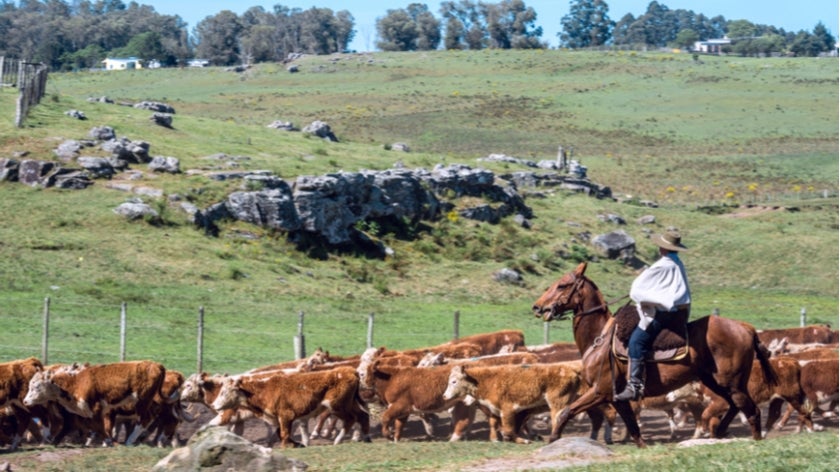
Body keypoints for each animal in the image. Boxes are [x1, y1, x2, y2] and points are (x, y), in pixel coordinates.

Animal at [23, 362, 164, 446]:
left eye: (36, 386)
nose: (25, 401)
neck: (75, 381)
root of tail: (156, 365)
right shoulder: (86, 412)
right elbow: (93, 427)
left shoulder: (96, 409)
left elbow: (99, 426)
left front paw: (107, 441)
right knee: (150, 418)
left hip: (142, 401)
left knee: (145, 419)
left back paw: (130, 441)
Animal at [210, 366, 368, 448]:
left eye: (224, 392)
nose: (214, 405)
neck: (264, 390)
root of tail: (349, 370)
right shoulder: (278, 418)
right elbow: (280, 433)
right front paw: (297, 443)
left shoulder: (286, 416)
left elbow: (284, 433)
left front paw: (287, 446)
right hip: (350, 404)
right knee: (362, 415)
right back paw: (365, 437)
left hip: (337, 406)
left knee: (351, 419)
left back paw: (338, 440)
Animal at [442, 364, 580, 444]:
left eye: (454, 381)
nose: (444, 396)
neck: (487, 381)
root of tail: (573, 372)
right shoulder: (494, 409)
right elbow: (496, 424)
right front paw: (496, 439)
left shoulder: (507, 410)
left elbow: (508, 429)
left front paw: (523, 440)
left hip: (557, 403)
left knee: (558, 419)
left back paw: (553, 439)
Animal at [532, 264, 776, 448]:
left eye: (562, 285)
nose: (538, 307)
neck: (599, 338)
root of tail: (746, 328)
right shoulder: (616, 398)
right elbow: (633, 427)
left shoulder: (600, 391)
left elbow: (566, 412)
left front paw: (553, 438)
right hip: (717, 382)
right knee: (735, 406)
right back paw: (721, 431)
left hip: (732, 383)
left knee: (752, 411)